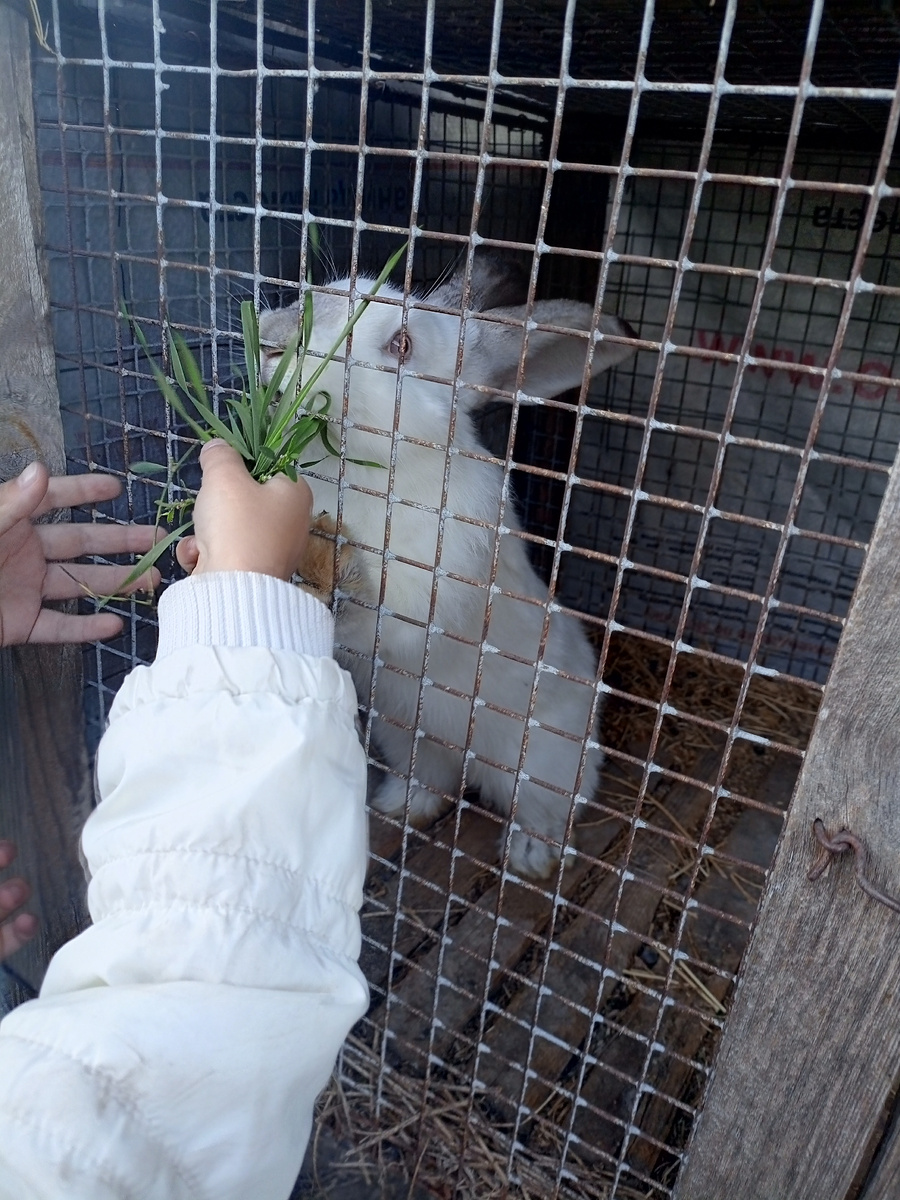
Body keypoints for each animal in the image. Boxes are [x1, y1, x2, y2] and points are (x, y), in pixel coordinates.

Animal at [257, 258, 636, 878]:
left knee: (545, 811)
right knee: (430, 784)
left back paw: (529, 858)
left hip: (543, 764)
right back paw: (396, 806)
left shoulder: (430, 586)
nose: (273, 338)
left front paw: (338, 567)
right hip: (403, 736)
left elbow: (383, 612)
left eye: (402, 344)